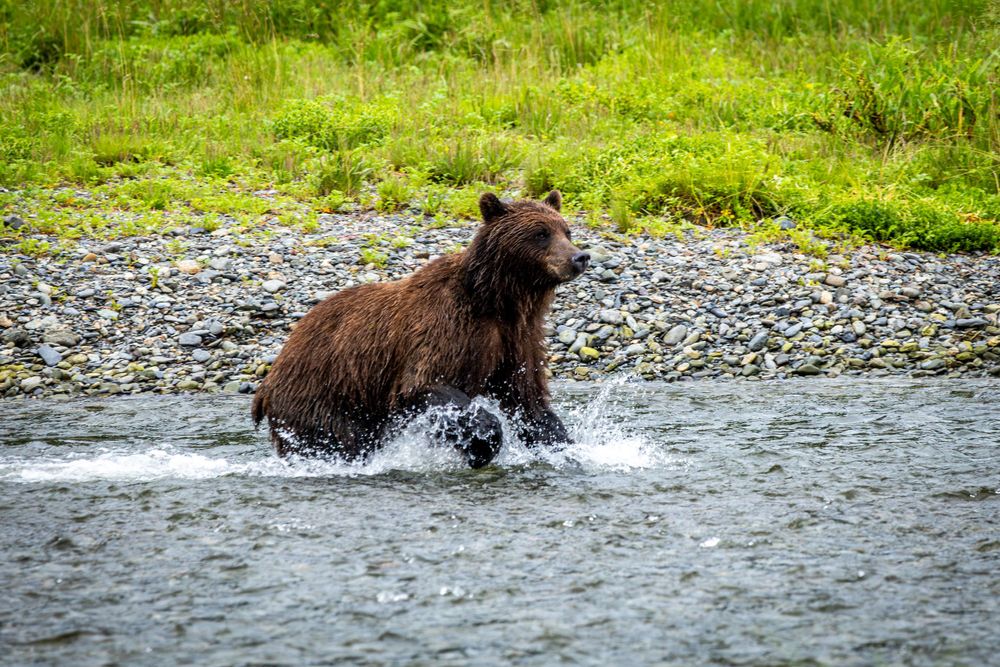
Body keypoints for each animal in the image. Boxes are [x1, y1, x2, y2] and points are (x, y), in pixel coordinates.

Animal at [251, 190, 590, 468]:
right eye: (540, 233)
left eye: (566, 230)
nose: (580, 256)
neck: (497, 301)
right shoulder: (446, 327)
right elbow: (424, 384)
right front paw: (484, 443)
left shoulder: (518, 340)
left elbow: (528, 401)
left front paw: (564, 446)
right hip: (323, 394)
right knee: (338, 441)